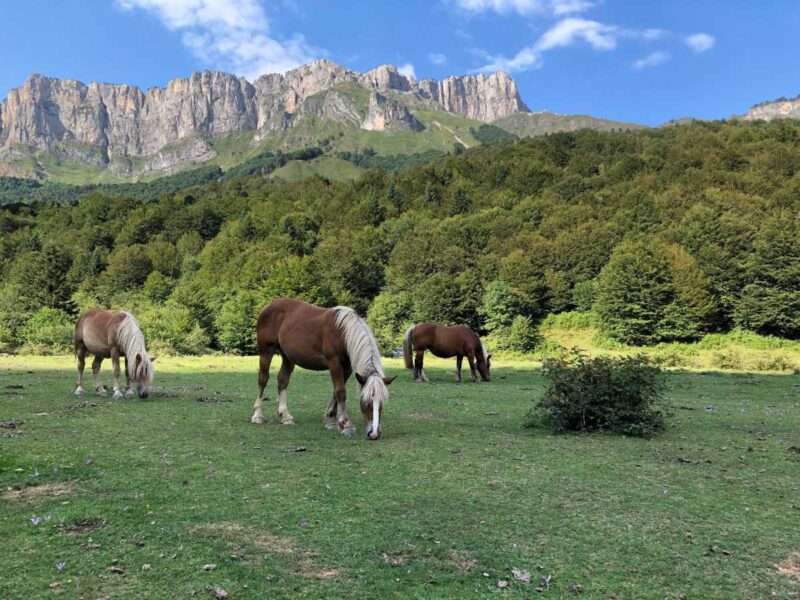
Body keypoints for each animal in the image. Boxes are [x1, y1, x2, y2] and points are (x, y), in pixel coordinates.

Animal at [250, 298, 396, 440]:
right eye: (366, 402)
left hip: (287, 357)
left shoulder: (347, 368)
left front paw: (331, 420)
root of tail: (268, 306)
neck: (342, 332)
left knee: (282, 381)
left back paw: (285, 416)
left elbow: (336, 391)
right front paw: (346, 425)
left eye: (381, 402)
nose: (374, 434)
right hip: (266, 352)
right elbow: (340, 392)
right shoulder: (334, 363)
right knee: (263, 379)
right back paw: (258, 415)